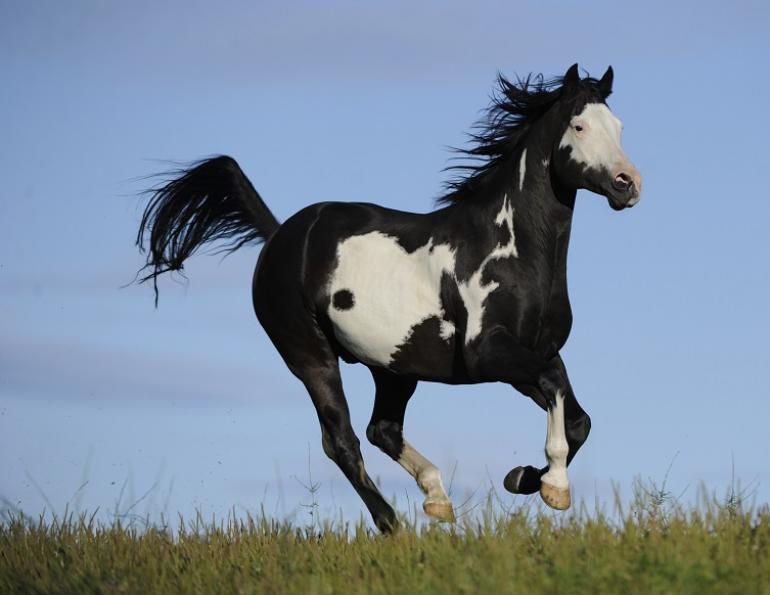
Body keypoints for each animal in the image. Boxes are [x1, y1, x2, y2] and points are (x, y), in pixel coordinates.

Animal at [136, 64, 641, 533]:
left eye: (619, 126)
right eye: (580, 126)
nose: (627, 184)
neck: (513, 249)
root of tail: (280, 234)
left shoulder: (538, 353)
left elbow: (577, 420)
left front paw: (522, 478)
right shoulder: (488, 353)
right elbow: (557, 394)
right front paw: (553, 487)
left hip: (394, 366)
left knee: (382, 429)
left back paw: (437, 498)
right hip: (310, 355)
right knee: (341, 440)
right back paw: (394, 525)